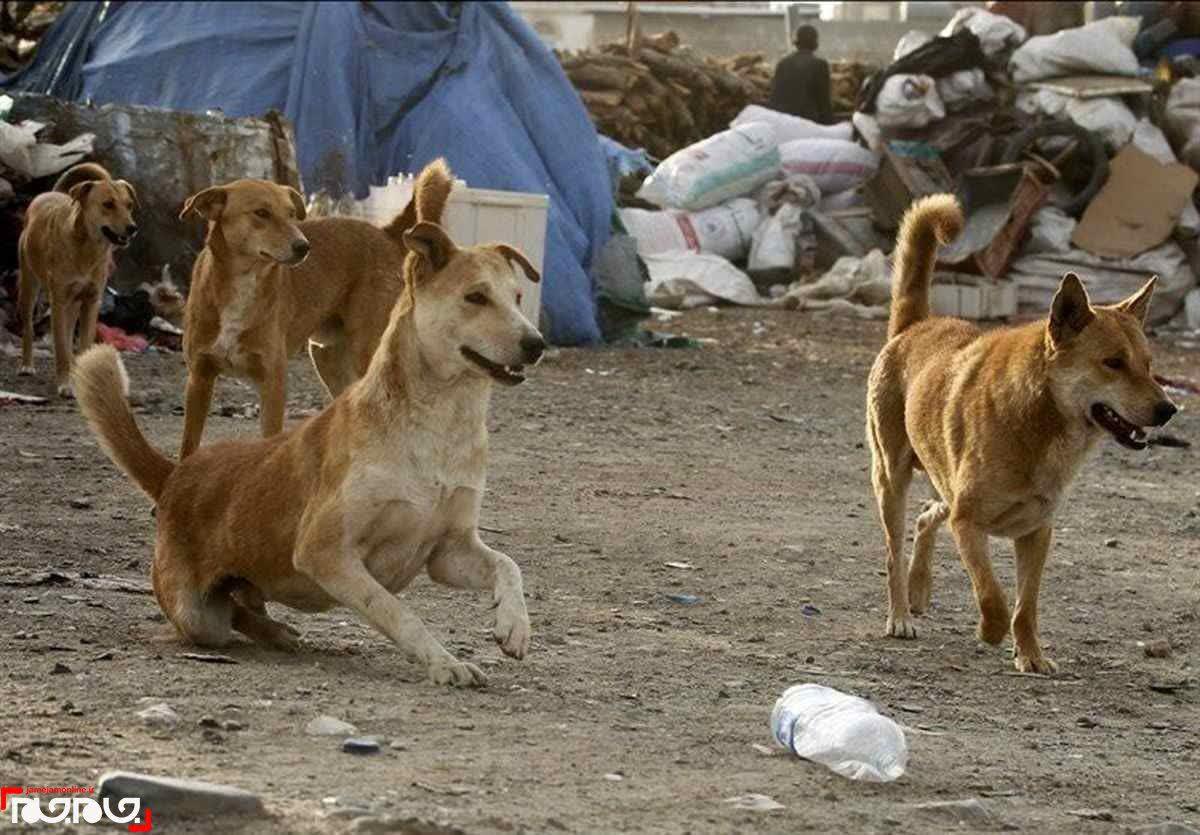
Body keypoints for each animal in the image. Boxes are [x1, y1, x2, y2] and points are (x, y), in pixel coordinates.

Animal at [16, 165, 138, 398]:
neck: (87, 248)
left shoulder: (91, 301)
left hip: (73, 303)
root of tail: (51, 193)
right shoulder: (59, 301)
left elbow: (83, 344)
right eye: (108, 204)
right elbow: (61, 348)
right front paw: (65, 384)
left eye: (129, 205)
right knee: (29, 327)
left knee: (68, 330)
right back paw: (27, 365)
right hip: (28, 285)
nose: (132, 228)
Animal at [72, 218, 547, 686]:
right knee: (226, 618)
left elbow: (508, 564)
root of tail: (176, 475)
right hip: (197, 615)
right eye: (475, 297)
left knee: (242, 607)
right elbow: (399, 612)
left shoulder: (447, 552)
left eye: (518, 298)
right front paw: (444, 662)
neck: (442, 426)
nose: (537, 343)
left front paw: (515, 627)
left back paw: (277, 632)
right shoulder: (325, 551)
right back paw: (275, 632)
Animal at [177, 155, 453, 455]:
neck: (243, 283)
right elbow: (188, 445)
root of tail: (385, 233)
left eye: (291, 214)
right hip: (327, 357)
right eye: (261, 213)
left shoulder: (273, 382)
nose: (303, 247)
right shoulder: (199, 379)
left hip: (366, 351)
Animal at [868, 194, 1176, 671]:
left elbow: (1025, 605)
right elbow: (993, 597)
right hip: (891, 479)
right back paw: (900, 614)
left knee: (926, 514)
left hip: (942, 483)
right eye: (1113, 363)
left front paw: (1031, 656)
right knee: (893, 552)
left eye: (1148, 365)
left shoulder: (1036, 533)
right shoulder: (968, 523)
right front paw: (990, 632)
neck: (1040, 420)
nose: (1169, 410)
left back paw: (919, 590)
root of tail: (914, 326)